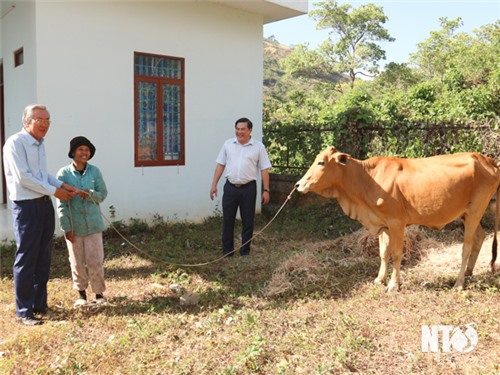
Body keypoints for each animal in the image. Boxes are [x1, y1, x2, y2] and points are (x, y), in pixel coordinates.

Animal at [294, 148, 498, 292]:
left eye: (321, 162)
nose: (298, 185)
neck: (367, 178)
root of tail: (488, 161)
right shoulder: (383, 224)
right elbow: (384, 253)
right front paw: (379, 279)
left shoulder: (396, 223)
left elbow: (397, 254)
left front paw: (393, 284)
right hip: (467, 214)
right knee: (480, 237)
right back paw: (469, 273)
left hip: (475, 211)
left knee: (466, 247)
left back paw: (459, 283)